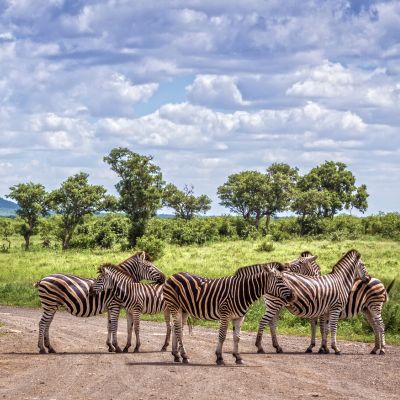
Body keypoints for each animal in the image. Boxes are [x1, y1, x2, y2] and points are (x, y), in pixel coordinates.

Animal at [34, 252, 165, 354]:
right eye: (149, 266)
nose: (164, 278)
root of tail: (42, 279)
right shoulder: (115, 305)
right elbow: (114, 325)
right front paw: (116, 347)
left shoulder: (111, 307)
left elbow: (109, 325)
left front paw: (110, 346)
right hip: (50, 304)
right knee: (42, 323)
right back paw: (42, 348)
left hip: (52, 306)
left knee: (47, 324)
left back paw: (49, 348)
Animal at [162, 262, 294, 366]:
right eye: (280, 280)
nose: (293, 296)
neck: (241, 292)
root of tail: (173, 275)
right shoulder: (225, 314)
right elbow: (222, 336)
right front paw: (219, 357)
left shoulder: (239, 317)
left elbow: (237, 337)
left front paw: (238, 357)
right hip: (175, 306)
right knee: (178, 330)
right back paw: (184, 355)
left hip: (183, 310)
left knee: (177, 329)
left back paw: (176, 355)